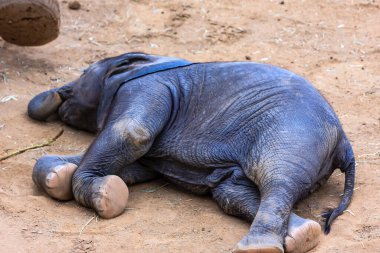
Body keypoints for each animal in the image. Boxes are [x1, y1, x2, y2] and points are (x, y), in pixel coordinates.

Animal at [28, 52, 354, 252]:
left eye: (84, 71)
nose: (55, 95)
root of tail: (344, 144)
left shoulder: (148, 87)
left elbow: (132, 134)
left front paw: (105, 196)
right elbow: (137, 165)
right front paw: (58, 177)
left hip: (294, 131)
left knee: (278, 179)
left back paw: (258, 248)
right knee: (231, 193)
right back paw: (303, 234)